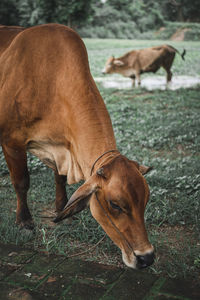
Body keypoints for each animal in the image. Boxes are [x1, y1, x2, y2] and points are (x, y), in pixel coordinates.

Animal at [0, 24, 155, 270]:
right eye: (115, 204)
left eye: (146, 201)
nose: (147, 257)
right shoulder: (11, 142)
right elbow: (21, 182)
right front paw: (24, 222)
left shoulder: (62, 149)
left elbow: (60, 179)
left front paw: (63, 209)